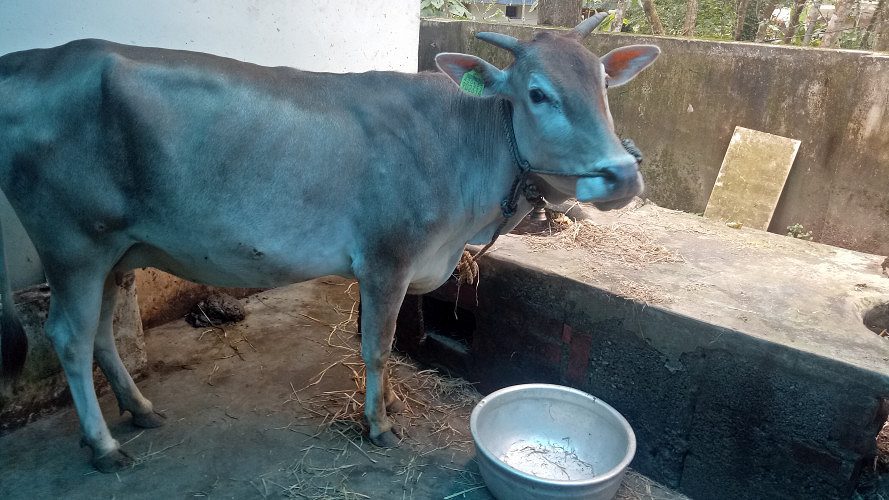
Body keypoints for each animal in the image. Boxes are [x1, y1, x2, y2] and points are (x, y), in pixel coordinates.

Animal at [0, 14, 659, 472]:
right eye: (537, 94)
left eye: (604, 83)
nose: (622, 174)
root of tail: (30, 61)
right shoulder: (387, 258)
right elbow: (379, 346)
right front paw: (380, 424)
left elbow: (387, 346)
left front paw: (389, 405)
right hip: (73, 243)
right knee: (68, 336)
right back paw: (103, 445)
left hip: (117, 251)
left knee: (102, 333)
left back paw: (139, 410)